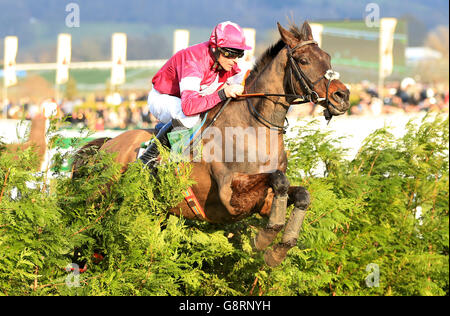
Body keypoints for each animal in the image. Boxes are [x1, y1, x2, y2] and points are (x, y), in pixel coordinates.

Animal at [72, 22, 350, 268]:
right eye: (303, 61)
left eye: (327, 57)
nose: (343, 96)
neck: (253, 129)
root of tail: (107, 144)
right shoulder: (231, 196)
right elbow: (278, 179)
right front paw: (265, 237)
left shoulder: (263, 200)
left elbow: (301, 194)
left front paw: (279, 250)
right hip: (99, 202)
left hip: (155, 211)